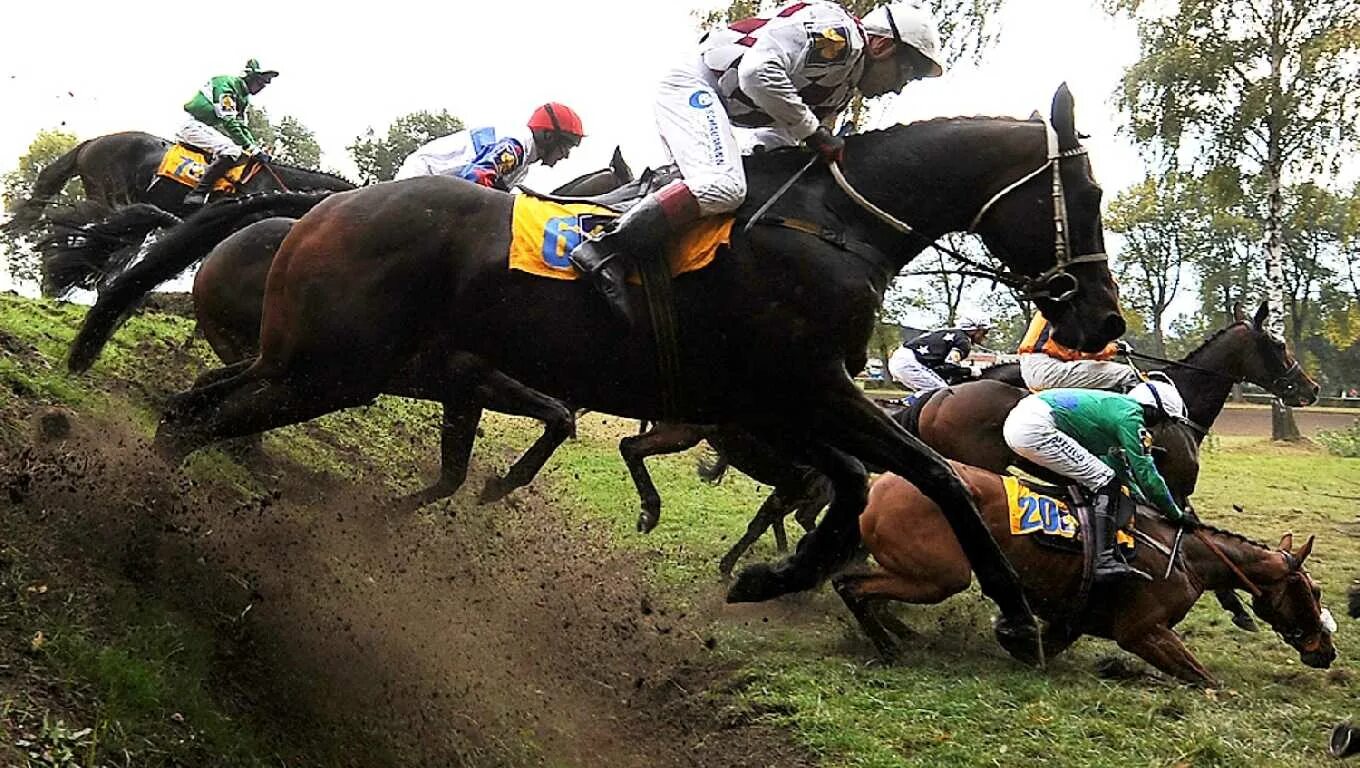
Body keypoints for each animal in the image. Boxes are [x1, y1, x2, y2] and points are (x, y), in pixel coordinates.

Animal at [69, 88, 1120, 641]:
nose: (1103, 319)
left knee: (189, 410)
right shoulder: (805, 388)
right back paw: (143, 530)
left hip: (305, 363)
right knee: (195, 422)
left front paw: (775, 575)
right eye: (1090, 194)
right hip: (328, 371)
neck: (832, 226)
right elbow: (929, 473)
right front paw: (1017, 614)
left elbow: (856, 482)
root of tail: (323, 204)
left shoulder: (770, 403)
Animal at [837, 459, 1338, 685]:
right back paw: (889, 646)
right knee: (851, 585)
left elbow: (1036, 650)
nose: (1328, 651)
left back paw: (899, 634)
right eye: (1313, 592)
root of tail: (879, 483)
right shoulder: (1141, 630)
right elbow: (1207, 681)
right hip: (942, 576)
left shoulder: (1070, 622)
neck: (1189, 556)